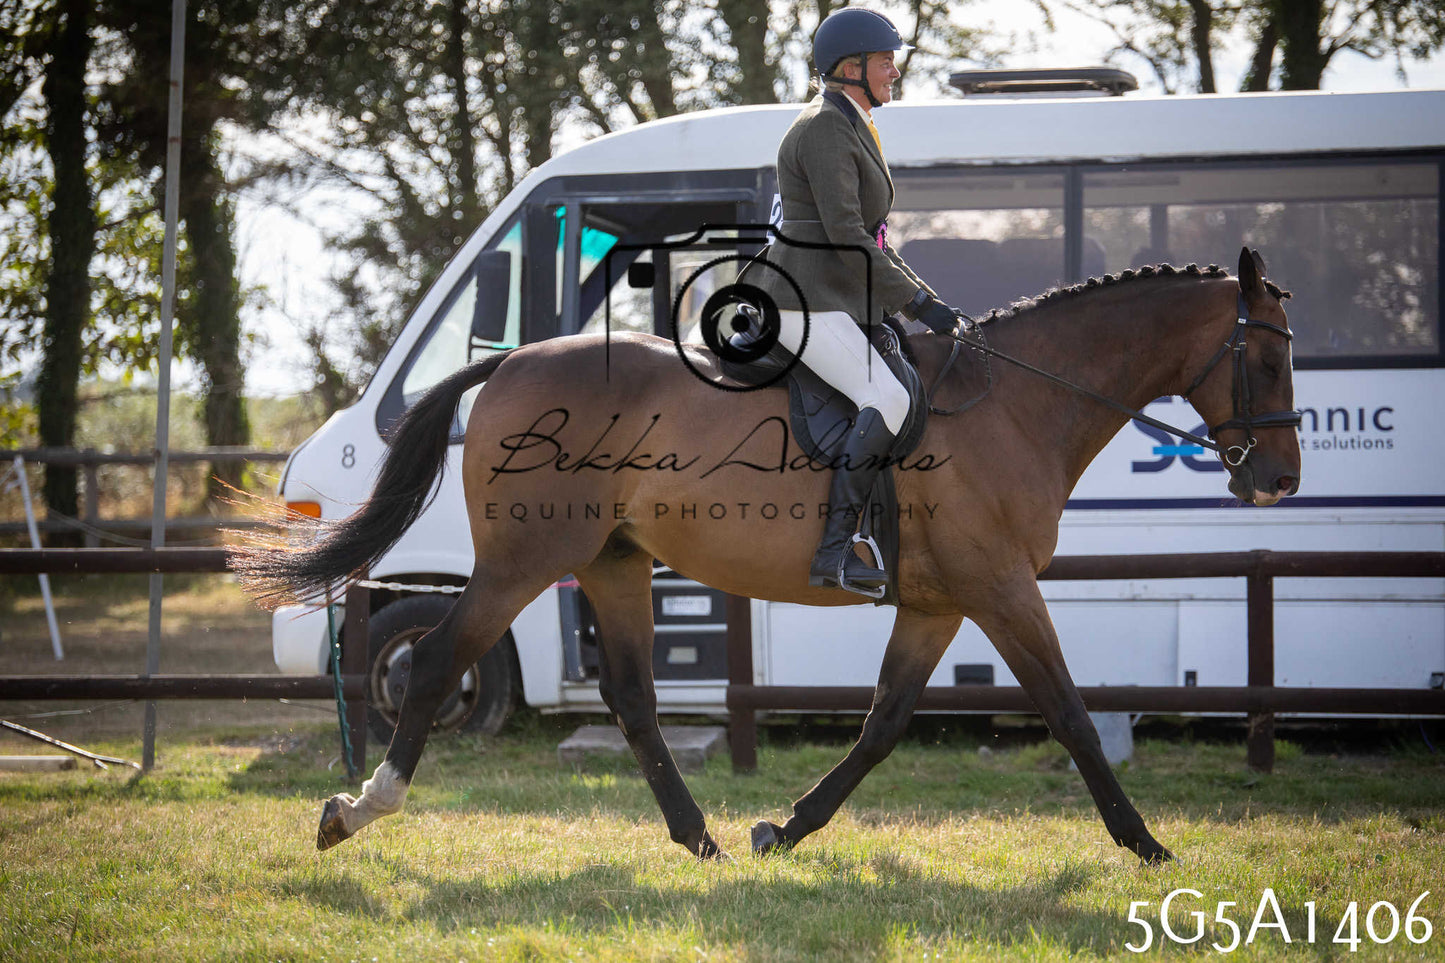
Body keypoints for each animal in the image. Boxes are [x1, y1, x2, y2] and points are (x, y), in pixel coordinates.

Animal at [233, 247, 1301, 865]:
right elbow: (1073, 715)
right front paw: (1147, 844)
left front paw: (782, 827)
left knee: (630, 695)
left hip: (612, 561)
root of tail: (506, 363)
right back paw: (356, 808)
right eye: (1266, 355)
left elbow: (883, 722)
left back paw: (700, 837)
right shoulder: (1001, 588)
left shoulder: (938, 601)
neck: (1017, 402)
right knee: (433, 660)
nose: (1280, 477)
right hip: (521, 562)